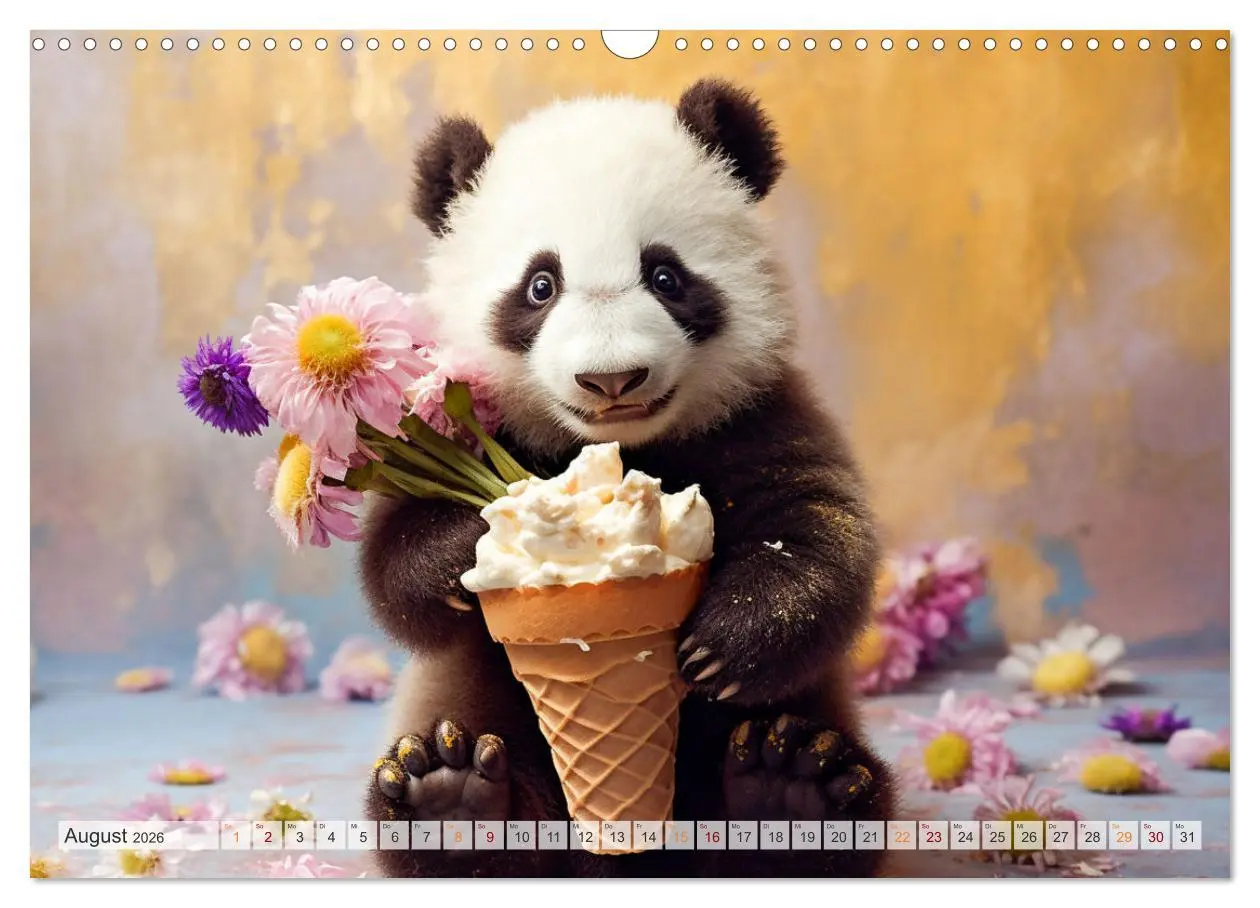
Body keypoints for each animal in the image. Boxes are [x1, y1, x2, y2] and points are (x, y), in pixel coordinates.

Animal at [360, 78, 894, 878]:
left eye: (666, 275)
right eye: (540, 285)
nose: (612, 379)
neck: (621, 445)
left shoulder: (759, 414)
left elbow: (818, 530)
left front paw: (725, 644)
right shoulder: (463, 430)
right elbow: (394, 561)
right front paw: (459, 549)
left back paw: (791, 790)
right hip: (471, 703)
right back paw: (451, 804)